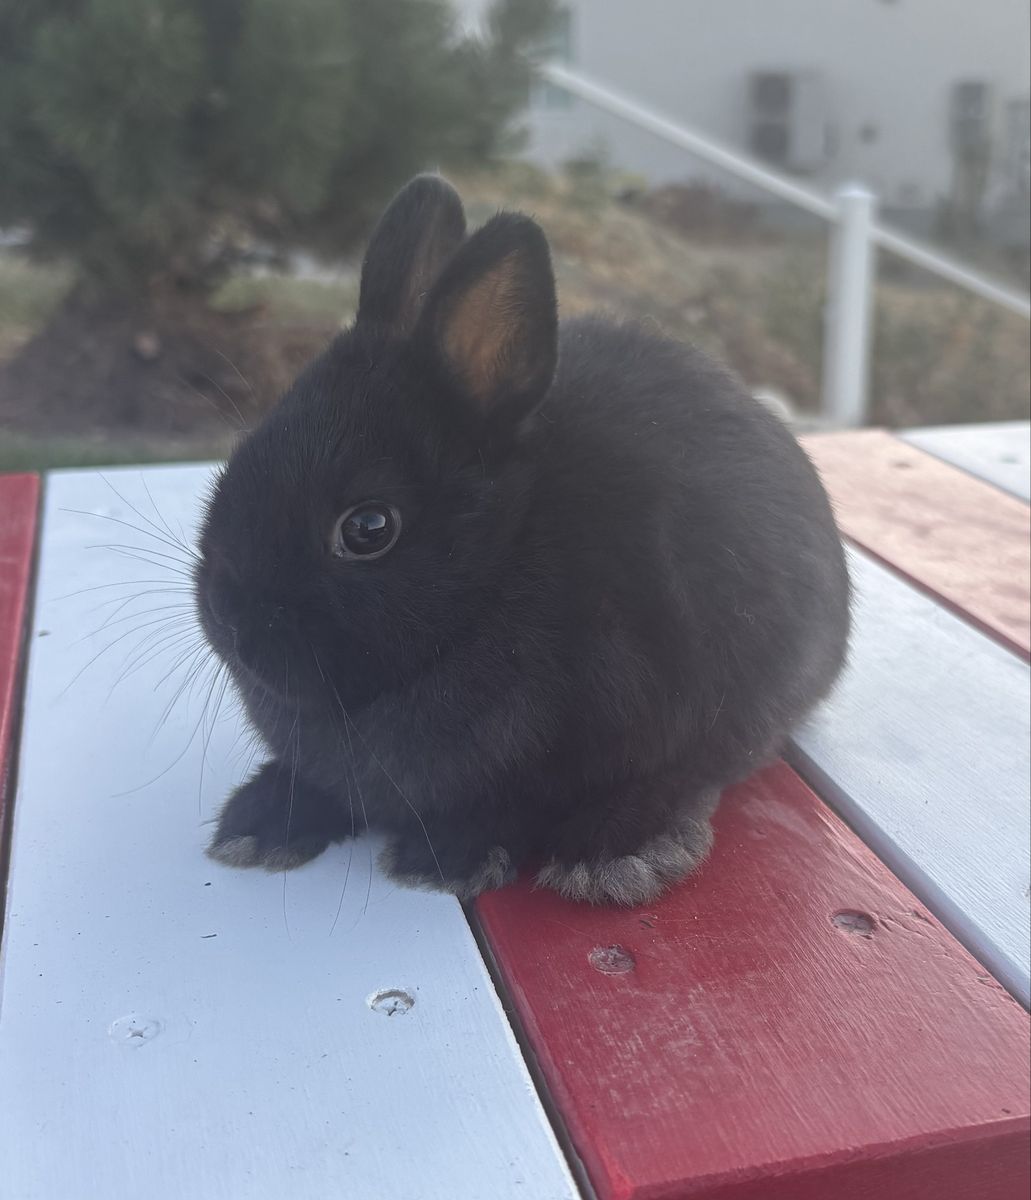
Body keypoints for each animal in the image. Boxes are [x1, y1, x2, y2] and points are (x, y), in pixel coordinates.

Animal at [195, 173, 851, 907]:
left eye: (367, 529)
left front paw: (445, 857)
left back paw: (612, 847)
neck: (495, 577)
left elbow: (516, 803)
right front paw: (263, 822)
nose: (227, 616)